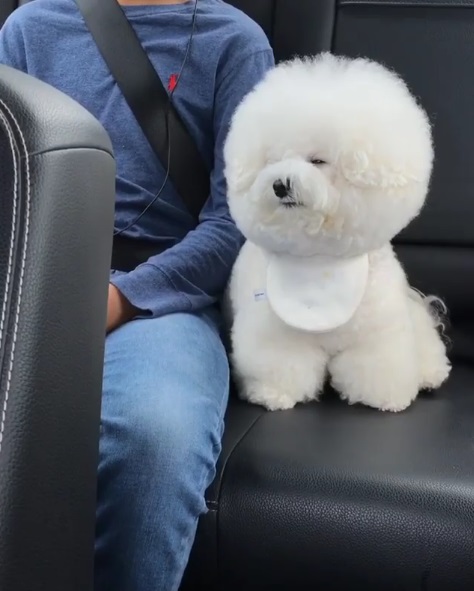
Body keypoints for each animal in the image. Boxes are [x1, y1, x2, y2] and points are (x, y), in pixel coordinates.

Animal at [223, 53, 451, 412]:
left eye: (318, 161)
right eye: (271, 161)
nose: (280, 184)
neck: (319, 258)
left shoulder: (376, 333)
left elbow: (377, 362)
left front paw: (385, 397)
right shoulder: (277, 333)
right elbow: (281, 361)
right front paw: (274, 393)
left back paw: (430, 372)